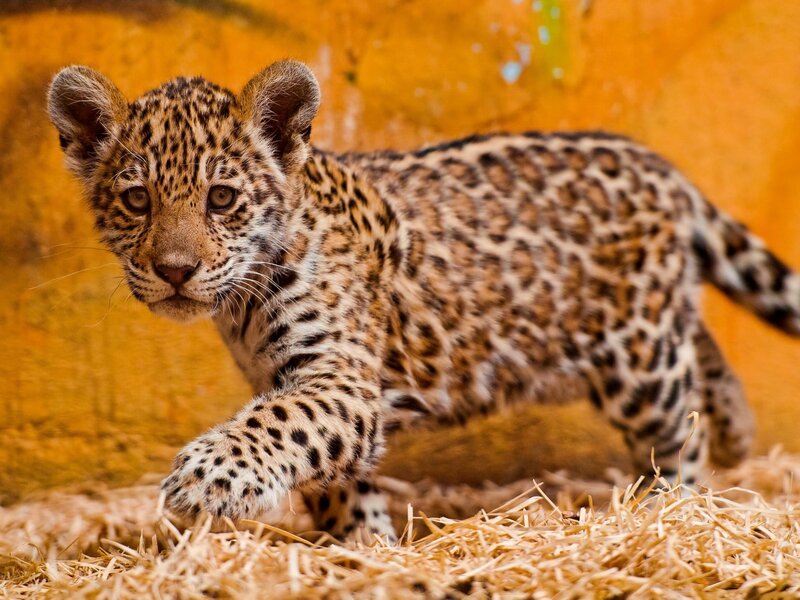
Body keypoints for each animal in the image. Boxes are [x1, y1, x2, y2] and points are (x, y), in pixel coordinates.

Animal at [47, 60, 800, 543]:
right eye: (137, 200)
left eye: (222, 198)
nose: (175, 271)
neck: (243, 304)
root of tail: (664, 169)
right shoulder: (289, 377)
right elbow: (331, 473)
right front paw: (364, 550)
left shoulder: (338, 377)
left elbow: (281, 424)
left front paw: (207, 479)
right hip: (656, 326)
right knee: (703, 350)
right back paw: (737, 433)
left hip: (638, 361)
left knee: (678, 421)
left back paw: (679, 507)